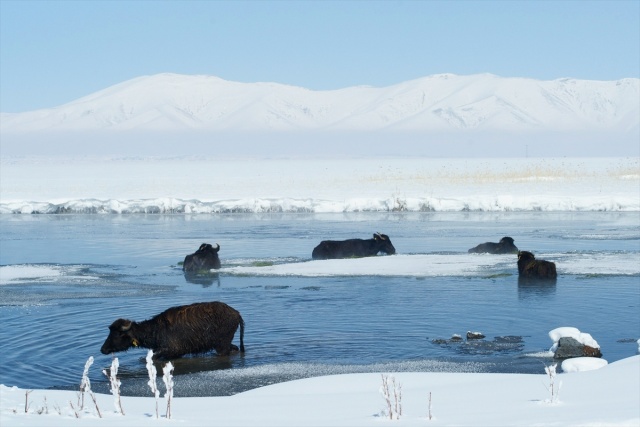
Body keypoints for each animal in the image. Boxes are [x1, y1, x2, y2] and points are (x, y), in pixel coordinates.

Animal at [100, 300, 245, 362]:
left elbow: (152, 357)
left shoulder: (172, 350)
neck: (156, 330)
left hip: (222, 345)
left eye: (118, 334)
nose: (102, 349)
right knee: (235, 347)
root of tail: (236, 314)